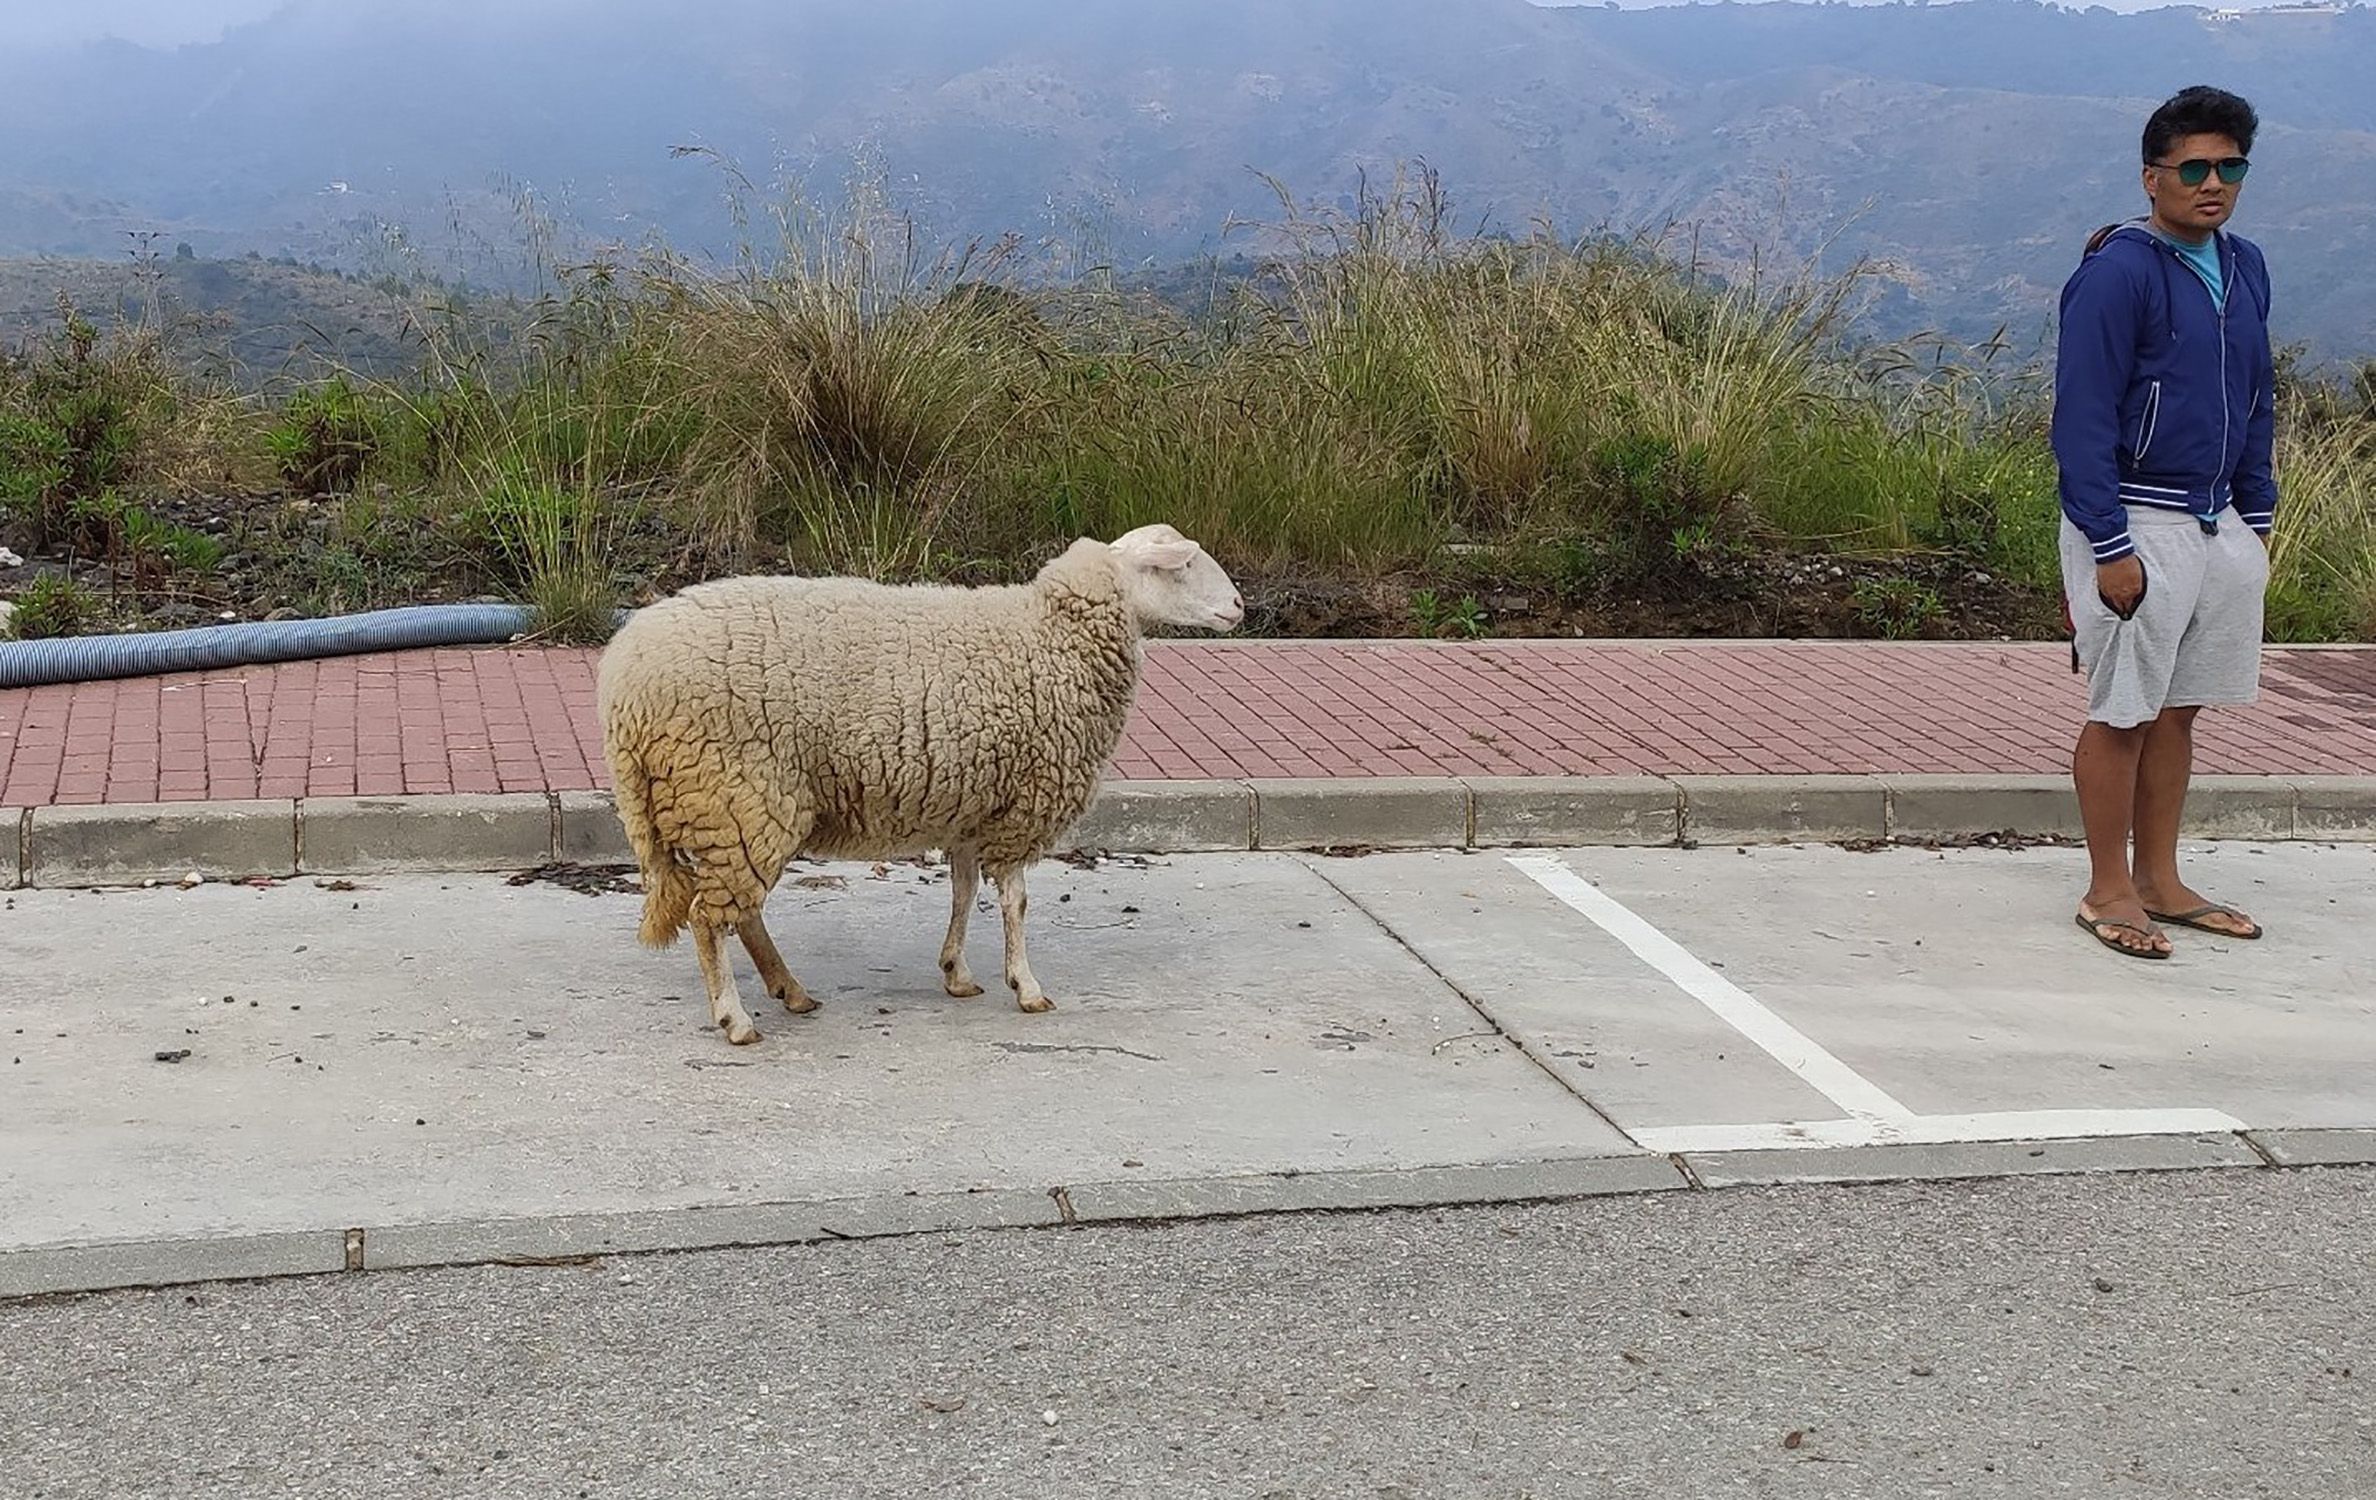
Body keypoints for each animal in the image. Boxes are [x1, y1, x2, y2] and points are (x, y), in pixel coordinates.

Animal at [591, 525, 1245, 1045]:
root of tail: (622, 686)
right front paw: (1027, 986)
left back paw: (791, 990)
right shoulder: (1022, 804)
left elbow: (963, 892)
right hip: (740, 796)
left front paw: (957, 972)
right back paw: (735, 1019)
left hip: (734, 808)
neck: (1053, 635)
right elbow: (1015, 902)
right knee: (709, 917)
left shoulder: (974, 804)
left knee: (740, 913)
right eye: (1184, 564)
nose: (1240, 605)